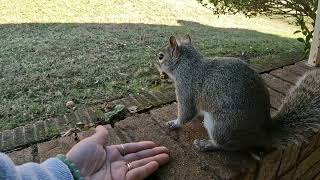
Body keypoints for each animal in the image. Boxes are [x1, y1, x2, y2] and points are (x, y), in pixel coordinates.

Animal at [155, 34, 320, 151]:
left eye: (161, 56)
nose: (155, 64)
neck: (187, 65)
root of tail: (263, 132)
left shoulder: (186, 88)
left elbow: (186, 113)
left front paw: (174, 123)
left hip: (221, 125)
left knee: (227, 146)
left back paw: (207, 145)